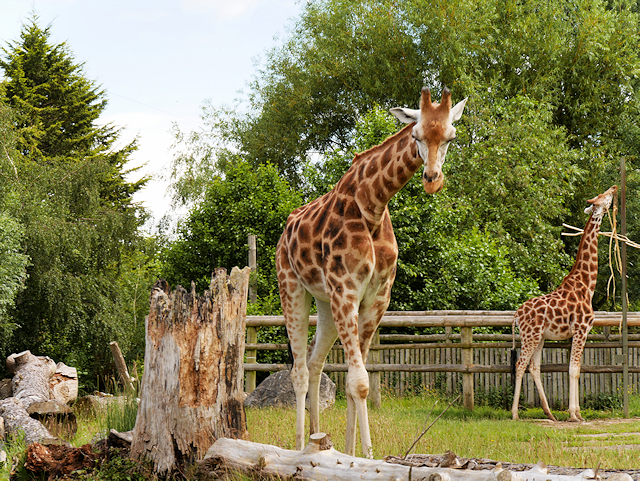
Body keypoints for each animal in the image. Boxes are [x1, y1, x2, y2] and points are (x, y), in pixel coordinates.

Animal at [278, 87, 468, 458]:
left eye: (451, 137)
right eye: (416, 134)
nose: (432, 180)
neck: (373, 206)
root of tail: (285, 231)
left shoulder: (376, 298)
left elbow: (357, 381)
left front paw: (352, 454)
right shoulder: (346, 291)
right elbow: (361, 382)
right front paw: (365, 457)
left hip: (325, 303)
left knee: (315, 363)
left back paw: (316, 442)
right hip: (292, 287)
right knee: (299, 372)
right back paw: (297, 447)